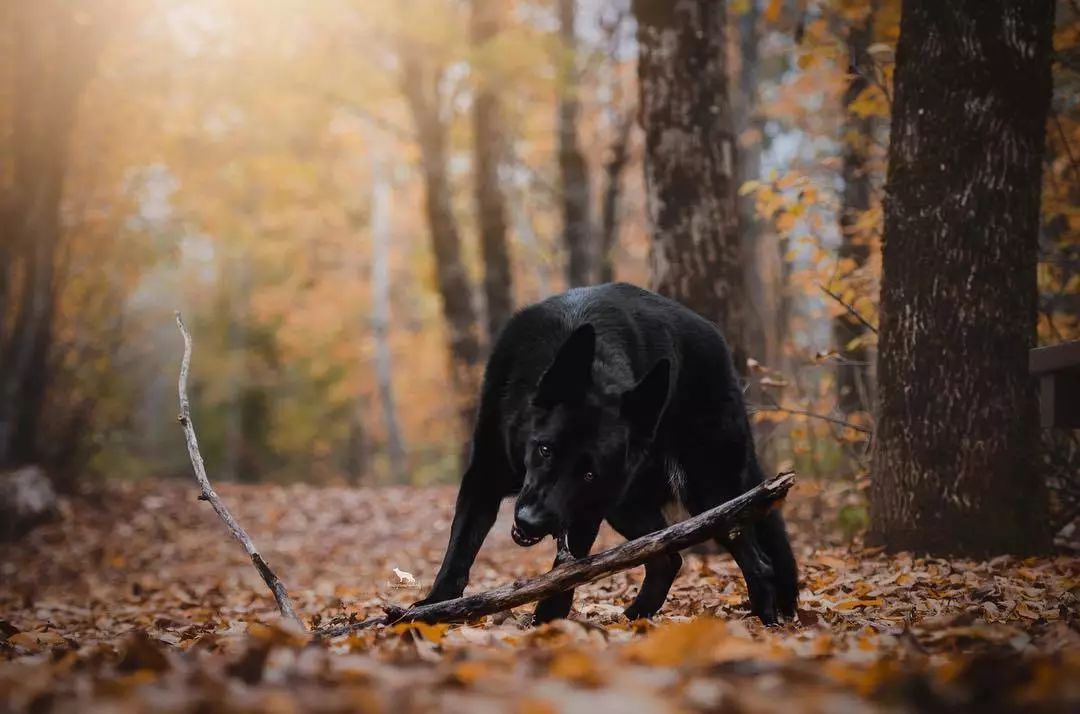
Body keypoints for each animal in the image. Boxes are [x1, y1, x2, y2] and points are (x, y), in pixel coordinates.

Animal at [416, 283, 799, 622]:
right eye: (544, 449)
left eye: (588, 474)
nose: (531, 522)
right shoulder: (483, 477)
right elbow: (459, 551)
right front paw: (434, 608)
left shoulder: (587, 506)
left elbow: (565, 573)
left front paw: (547, 624)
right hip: (627, 505)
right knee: (668, 559)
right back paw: (634, 619)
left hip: (706, 494)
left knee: (757, 562)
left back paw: (764, 622)